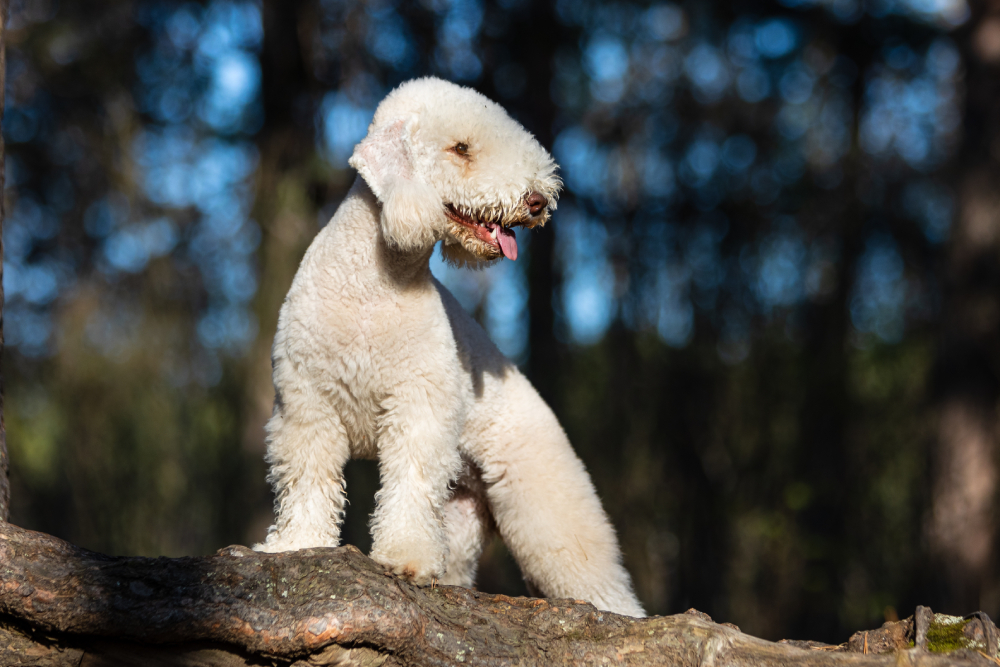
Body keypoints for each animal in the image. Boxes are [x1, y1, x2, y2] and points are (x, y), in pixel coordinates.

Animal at [258, 77, 644, 616]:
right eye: (460, 148)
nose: (537, 201)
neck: (374, 282)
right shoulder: (307, 404)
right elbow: (307, 481)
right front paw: (296, 545)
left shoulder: (419, 405)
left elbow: (409, 482)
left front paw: (405, 559)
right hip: (463, 511)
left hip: (542, 495)